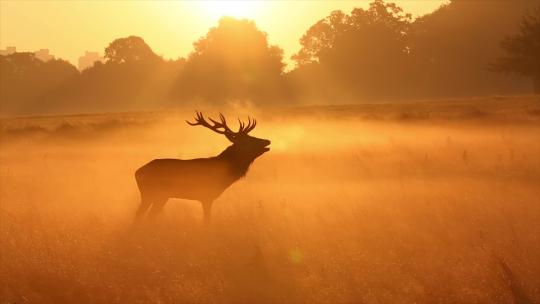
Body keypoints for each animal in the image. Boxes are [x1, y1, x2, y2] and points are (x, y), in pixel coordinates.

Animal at [135, 111, 270, 223]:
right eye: (248, 140)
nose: (267, 141)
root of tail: (137, 172)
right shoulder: (206, 196)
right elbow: (207, 221)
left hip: (162, 196)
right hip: (149, 193)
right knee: (139, 215)